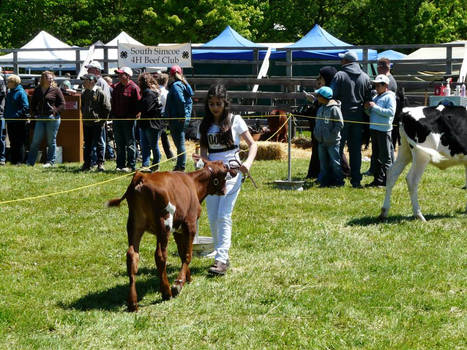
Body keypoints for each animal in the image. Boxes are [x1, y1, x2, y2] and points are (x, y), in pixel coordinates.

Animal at [107, 160, 236, 310]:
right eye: (225, 171)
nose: (225, 191)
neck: (193, 183)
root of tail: (141, 176)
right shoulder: (190, 225)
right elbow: (188, 254)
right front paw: (179, 283)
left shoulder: (178, 231)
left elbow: (182, 253)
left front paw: (187, 278)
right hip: (164, 225)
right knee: (160, 255)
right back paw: (166, 292)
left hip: (134, 225)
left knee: (132, 256)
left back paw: (133, 302)